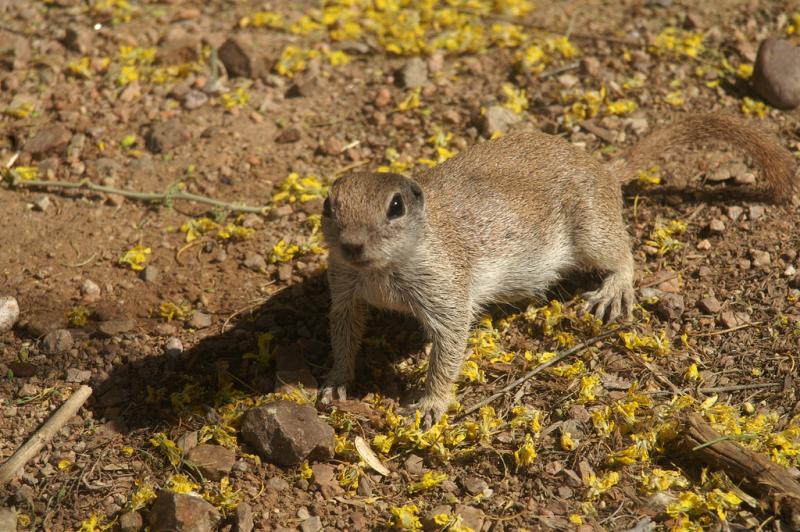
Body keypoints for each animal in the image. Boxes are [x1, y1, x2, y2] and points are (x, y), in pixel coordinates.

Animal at [318, 114, 792, 426]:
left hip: (592, 231)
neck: (382, 270)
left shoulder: (445, 290)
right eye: (328, 203)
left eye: (396, 206)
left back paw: (614, 290)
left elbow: (448, 349)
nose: (352, 245)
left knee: (623, 255)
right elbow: (343, 331)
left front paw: (431, 404)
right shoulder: (343, 288)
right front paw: (336, 380)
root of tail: (604, 169)